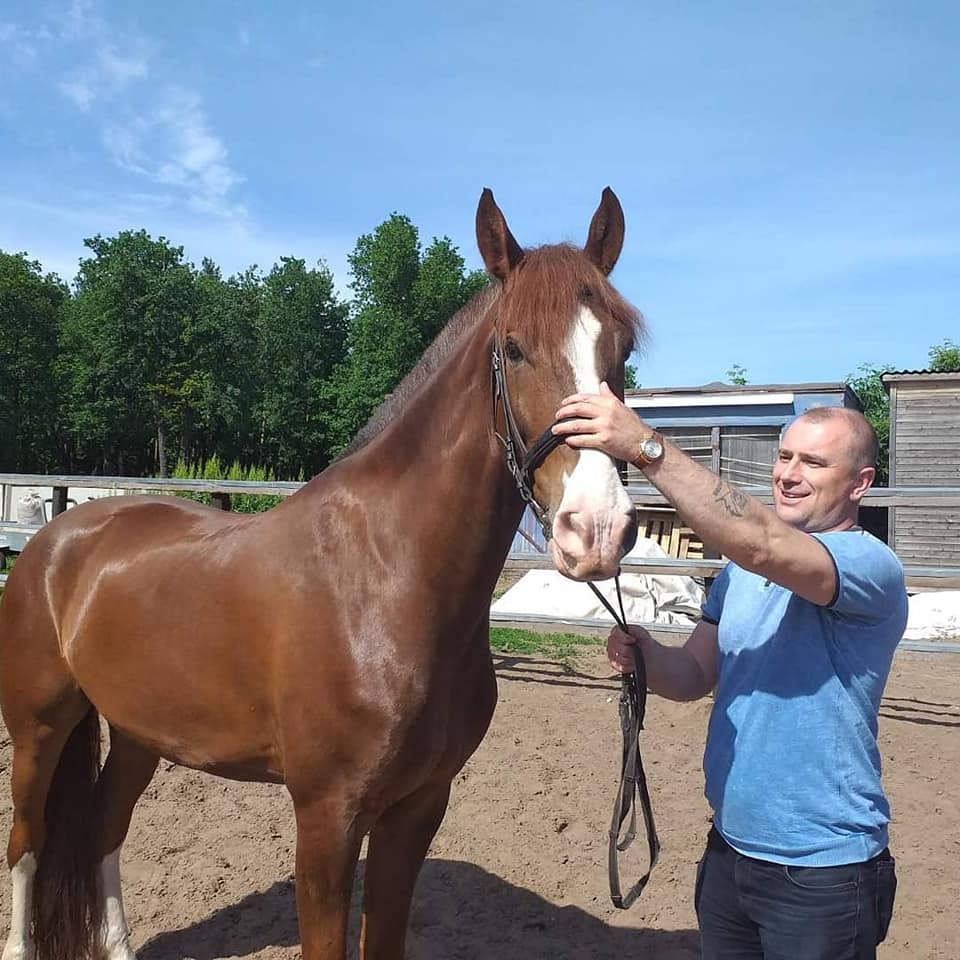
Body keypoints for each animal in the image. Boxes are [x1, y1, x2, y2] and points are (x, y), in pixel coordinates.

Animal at [1, 189, 644, 960]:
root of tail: (54, 539)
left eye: (623, 348)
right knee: (27, 844)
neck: (384, 581)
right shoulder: (327, 820)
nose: (598, 527)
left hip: (137, 733)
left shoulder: (417, 809)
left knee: (103, 829)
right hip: (38, 729)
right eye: (513, 348)